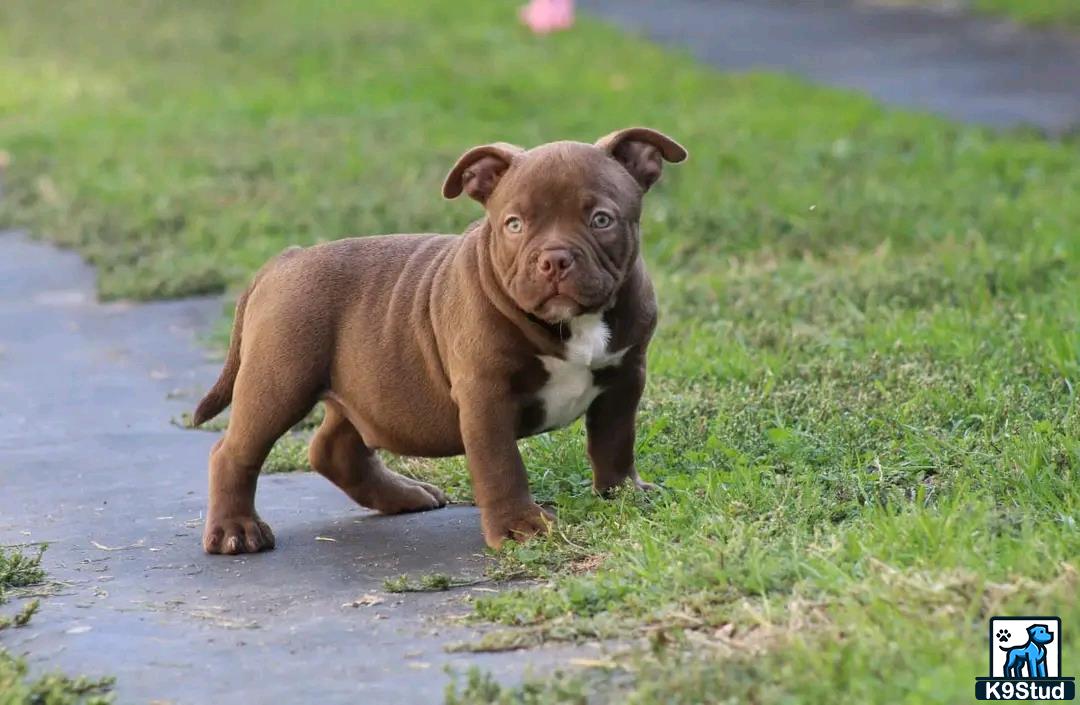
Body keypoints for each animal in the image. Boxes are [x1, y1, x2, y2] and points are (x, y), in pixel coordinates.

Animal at [191, 129, 686, 552]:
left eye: (601, 220)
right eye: (514, 225)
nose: (555, 259)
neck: (569, 325)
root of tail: (284, 261)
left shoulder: (625, 377)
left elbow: (614, 441)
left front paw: (623, 493)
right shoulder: (486, 395)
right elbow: (501, 465)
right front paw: (518, 527)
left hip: (369, 385)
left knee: (334, 447)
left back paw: (402, 495)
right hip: (279, 380)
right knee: (234, 451)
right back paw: (236, 530)